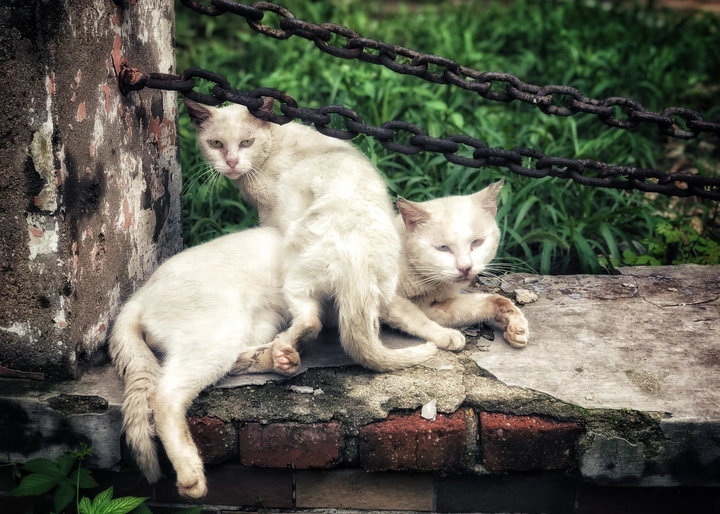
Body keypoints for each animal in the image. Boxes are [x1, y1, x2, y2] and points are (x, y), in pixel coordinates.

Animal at [183, 98, 439, 373]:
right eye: (216, 144)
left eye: (246, 143)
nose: (231, 162)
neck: (273, 144)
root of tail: (357, 257)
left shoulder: (269, 213)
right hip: (380, 291)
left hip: (295, 275)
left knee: (310, 321)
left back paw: (283, 349)